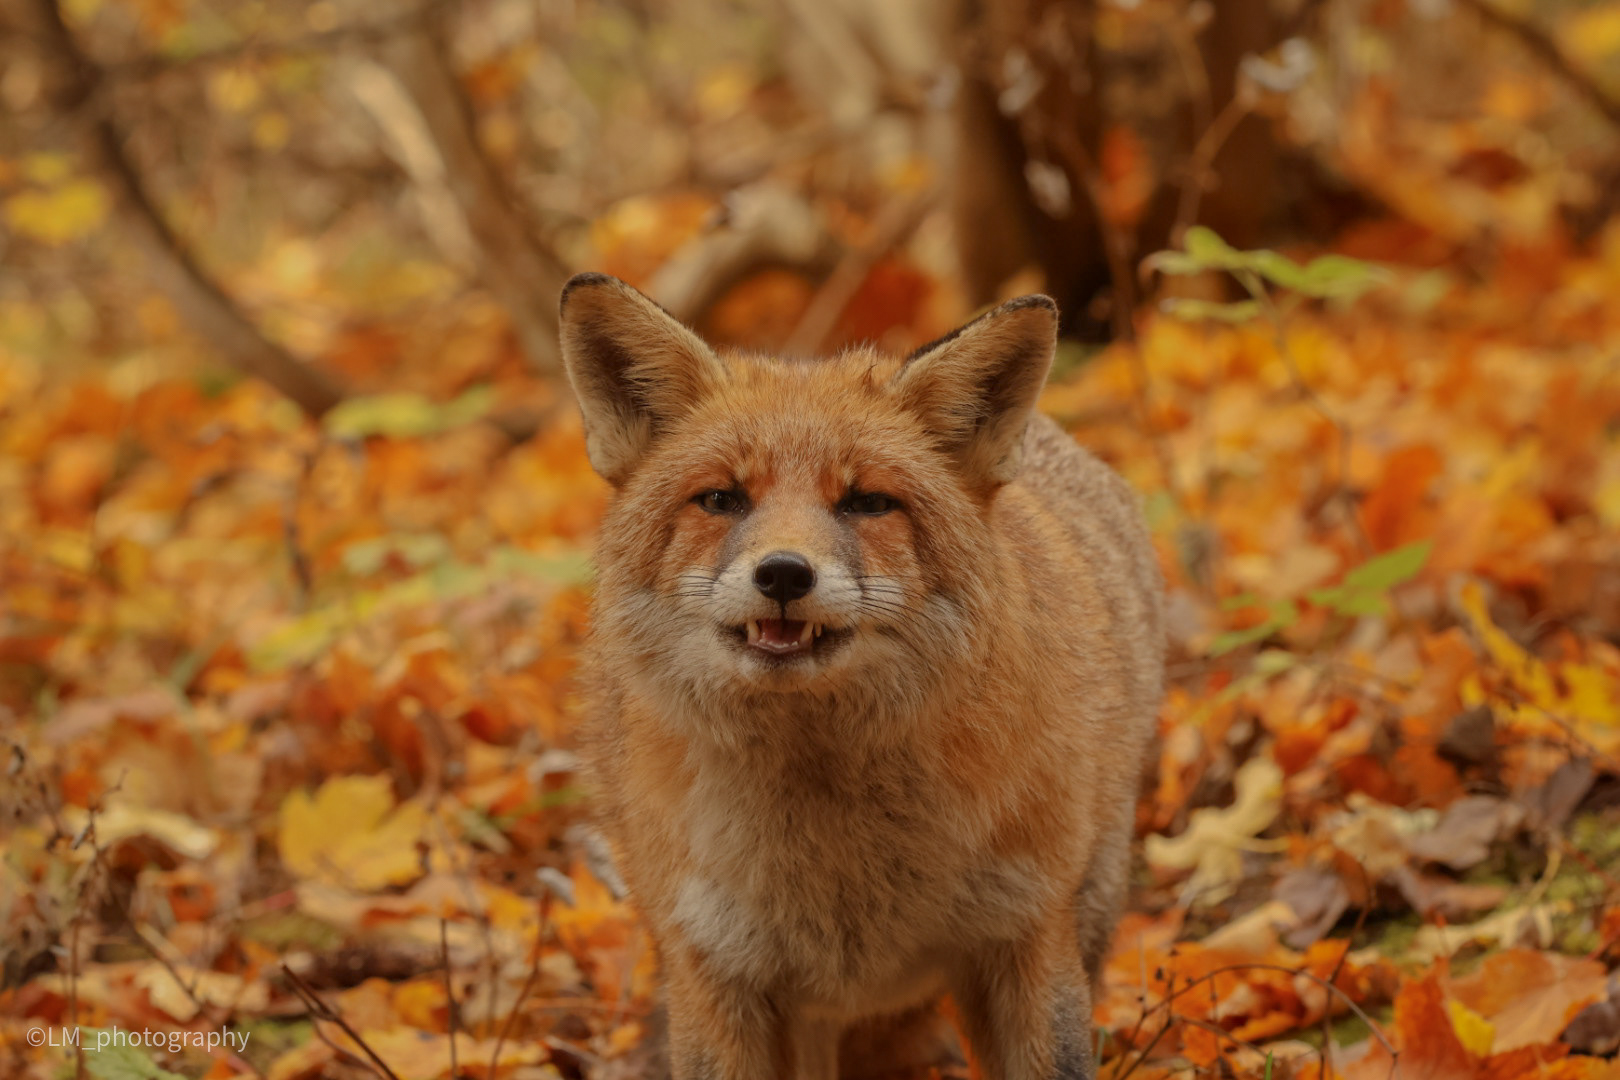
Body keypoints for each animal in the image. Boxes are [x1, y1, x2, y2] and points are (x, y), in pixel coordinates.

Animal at [558, 272, 1164, 1080]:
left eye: (868, 501)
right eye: (721, 498)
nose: (784, 573)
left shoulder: (1025, 934)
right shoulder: (713, 971)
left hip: (1089, 902)